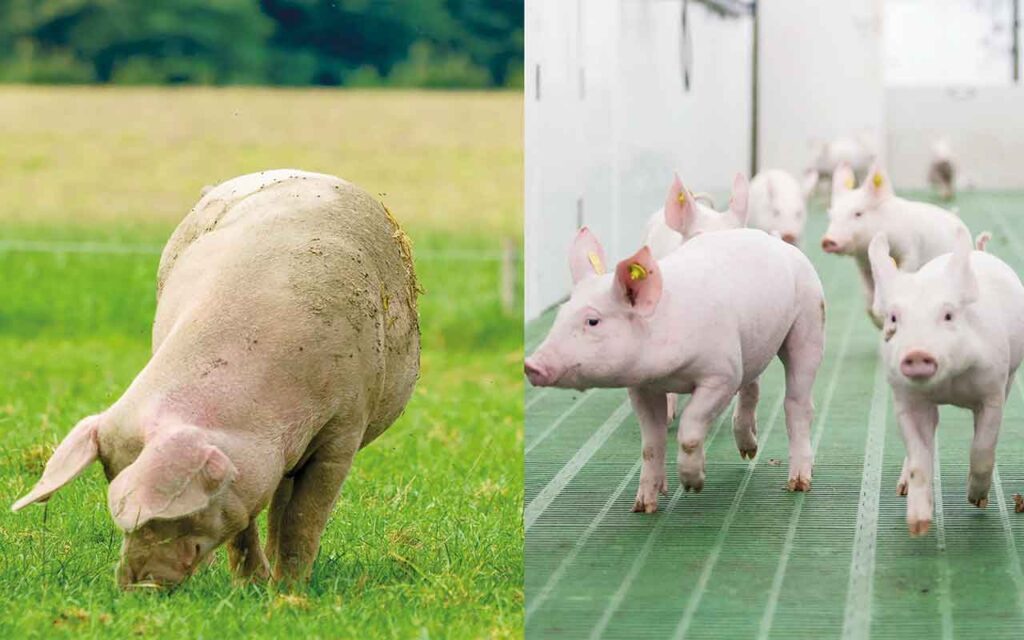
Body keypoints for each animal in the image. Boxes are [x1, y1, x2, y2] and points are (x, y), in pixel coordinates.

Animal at [11, 169, 421, 588]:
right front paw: (251, 587)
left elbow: (304, 518)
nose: (136, 585)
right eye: (110, 479)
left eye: (174, 509)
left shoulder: (345, 426)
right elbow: (244, 526)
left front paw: (288, 592)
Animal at [524, 220, 826, 513]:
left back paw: (799, 483)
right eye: (560, 315)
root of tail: (775, 240)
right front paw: (644, 506)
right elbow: (651, 443)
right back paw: (749, 452)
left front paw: (693, 486)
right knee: (752, 387)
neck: (668, 372)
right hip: (753, 345)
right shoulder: (642, 387)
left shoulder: (722, 373)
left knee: (798, 402)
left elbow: (690, 429)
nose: (531, 365)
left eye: (593, 321)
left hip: (810, 320)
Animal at [820, 163, 969, 327]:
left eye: (858, 213)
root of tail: (955, 216)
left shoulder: (910, 251)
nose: (828, 240)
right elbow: (867, 294)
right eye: (831, 216)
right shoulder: (863, 266)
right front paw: (878, 321)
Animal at [867, 228, 1024, 535]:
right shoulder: (905, 399)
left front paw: (976, 501)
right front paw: (918, 526)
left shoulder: (993, 390)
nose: (917, 353)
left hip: (1010, 376)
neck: (949, 385)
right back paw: (902, 488)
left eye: (948, 315)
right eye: (894, 317)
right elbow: (919, 459)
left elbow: (983, 446)